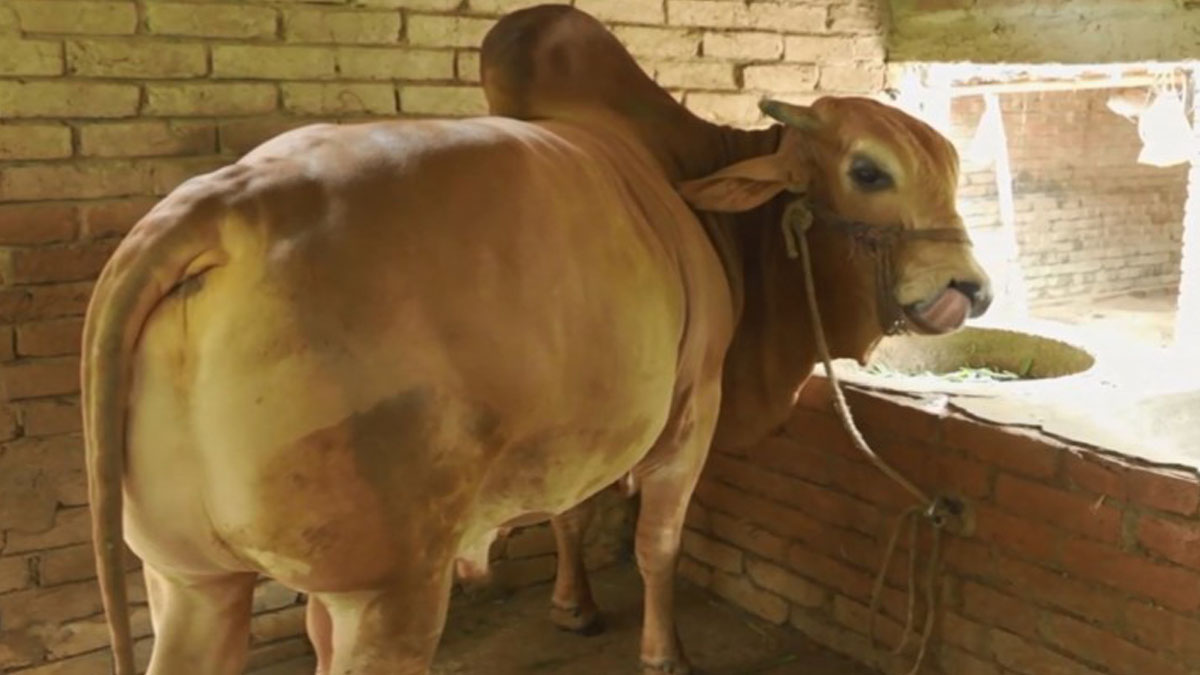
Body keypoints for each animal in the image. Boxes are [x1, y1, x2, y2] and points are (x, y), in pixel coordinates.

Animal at [82, 5, 991, 675]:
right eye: (868, 170)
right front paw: (663, 651)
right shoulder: (692, 407)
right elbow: (657, 543)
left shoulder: (586, 421)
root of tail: (215, 210)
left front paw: (572, 604)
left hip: (186, 580)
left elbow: (570, 513)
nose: (968, 288)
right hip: (387, 592)